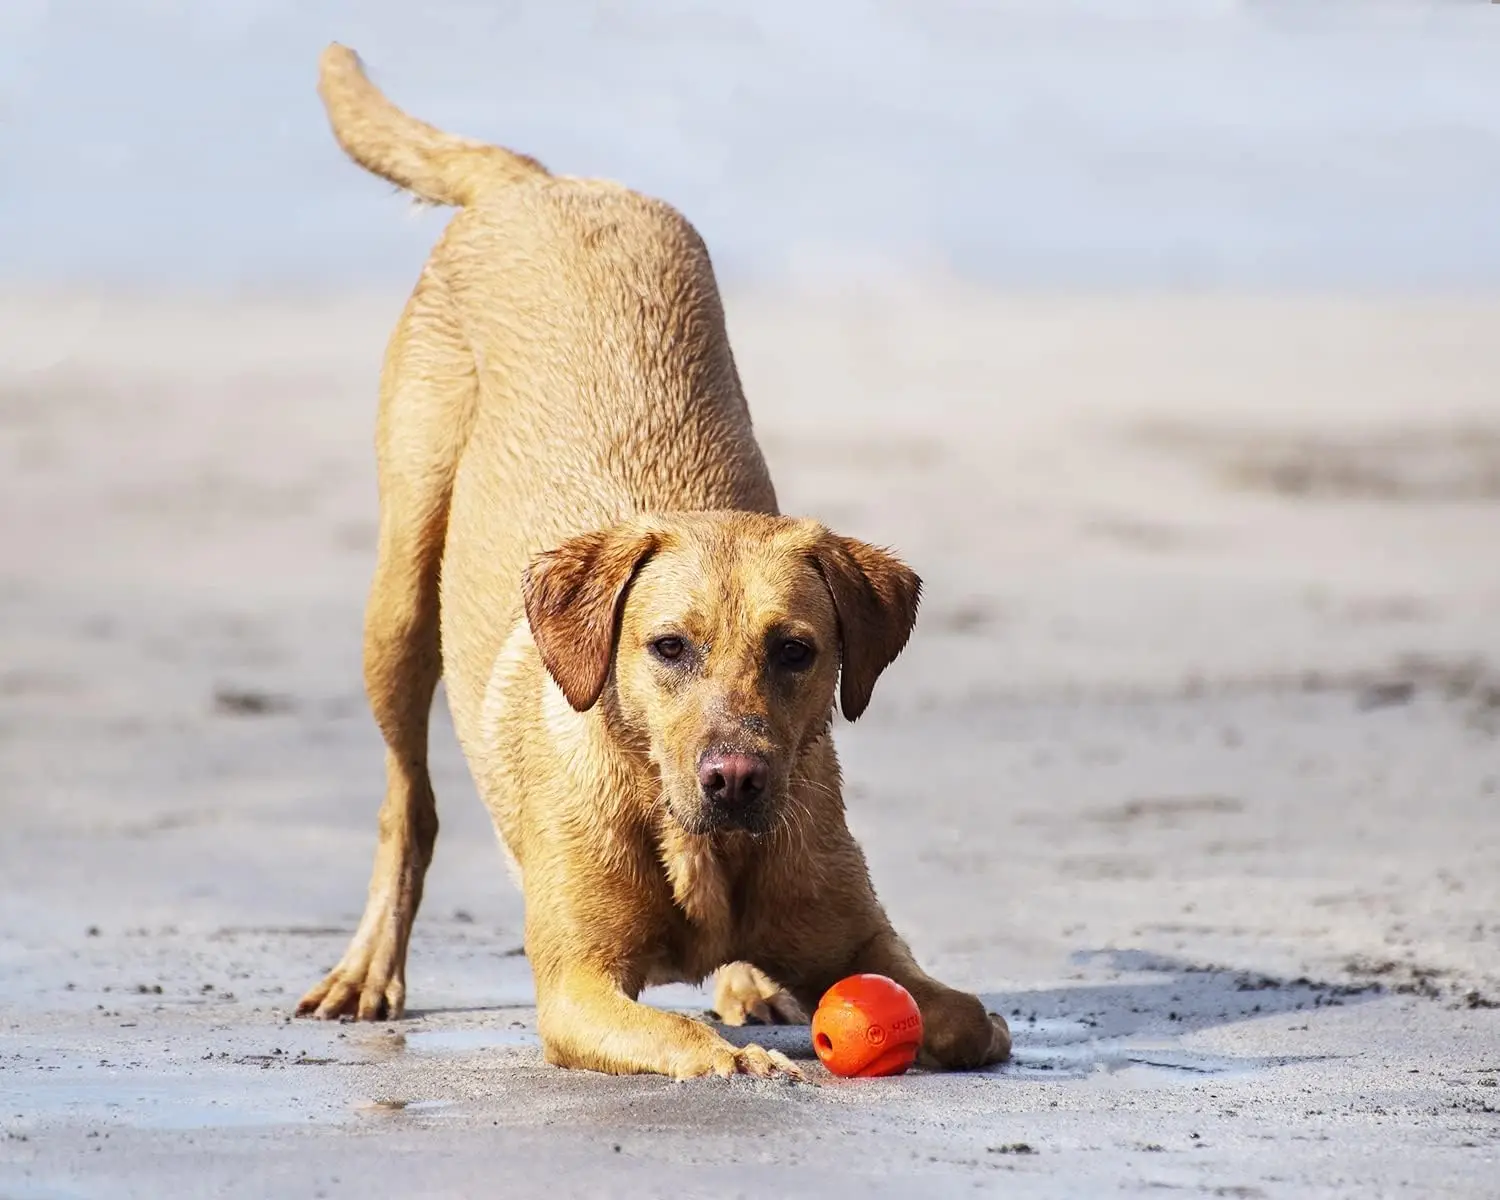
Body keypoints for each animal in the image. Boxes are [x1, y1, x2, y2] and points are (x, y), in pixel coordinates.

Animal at [298, 44, 1014, 1080]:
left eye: (796, 651)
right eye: (668, 647)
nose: (736, 779)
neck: (700, 848)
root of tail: (542, 183)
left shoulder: (863, 934)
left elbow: (962, 1015)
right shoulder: (576, 986)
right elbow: (675, 1032)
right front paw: (736, 1060)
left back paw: (747, 980)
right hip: (397, 597)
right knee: (408, 804)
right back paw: (366, 968)